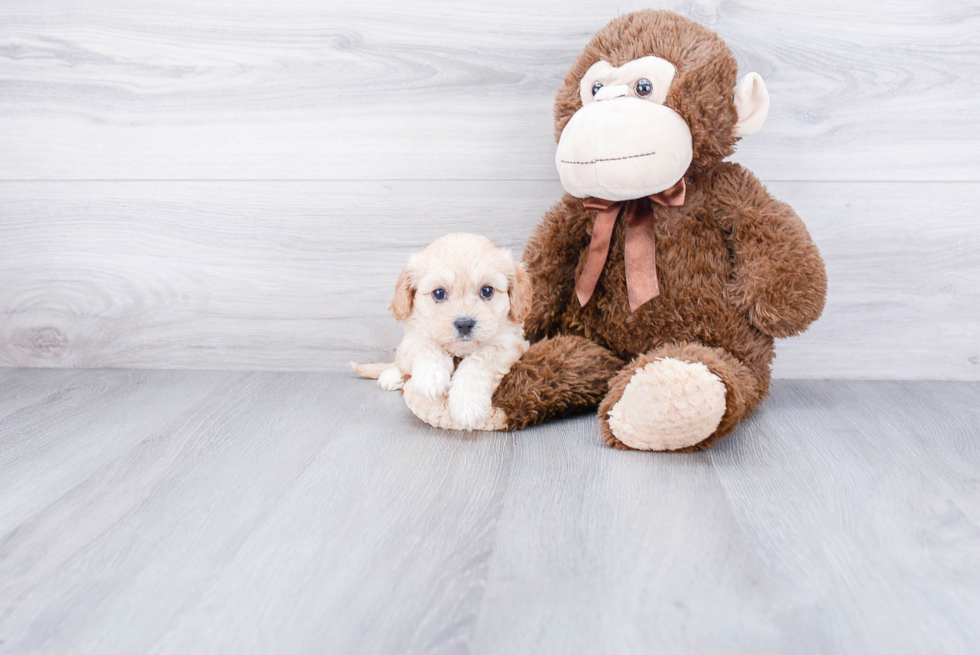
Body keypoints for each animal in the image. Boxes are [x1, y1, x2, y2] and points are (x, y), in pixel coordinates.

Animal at [352, 234, 532, 430]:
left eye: (487, 290)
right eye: (438, 293)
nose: (464, 324)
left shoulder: (509, 342)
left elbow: (480, 359)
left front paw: (467, 403)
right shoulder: (411, 339)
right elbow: (427, 345)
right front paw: (431, 377)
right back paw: (392, 376)